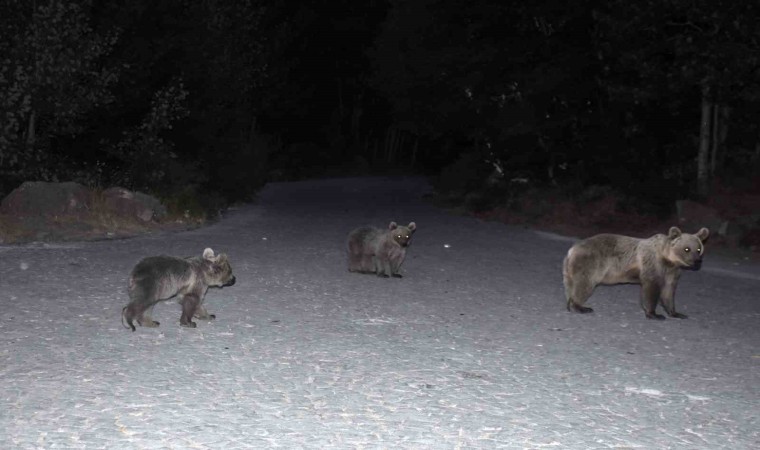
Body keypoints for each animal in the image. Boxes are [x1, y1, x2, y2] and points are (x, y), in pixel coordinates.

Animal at [563, 226, 709, 319]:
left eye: (698, 249)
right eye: (687, 249)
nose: (697, 261)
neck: (668, 260)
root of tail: (572, 249)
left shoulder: (671, 273)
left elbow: (668, 292)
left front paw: (676, 313)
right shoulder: (652, 266)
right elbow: (651, 289)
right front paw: (654, 314)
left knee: (571, 285)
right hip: (591, 264)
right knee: (584, 285)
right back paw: (581, 307)